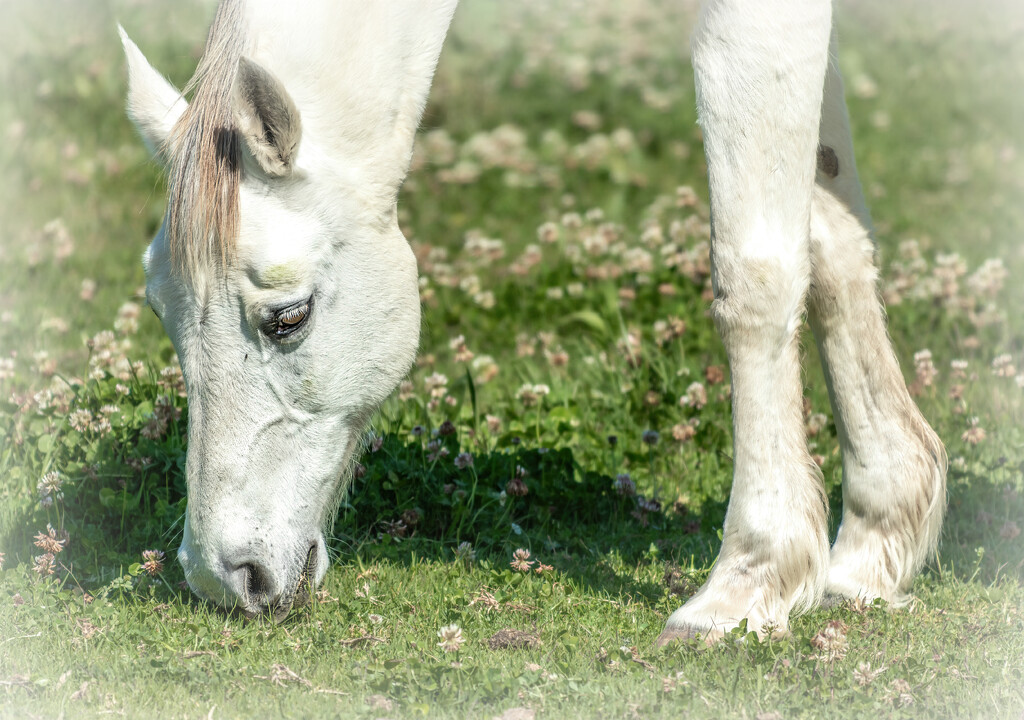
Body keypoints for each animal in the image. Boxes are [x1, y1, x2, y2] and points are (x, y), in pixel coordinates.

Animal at [121, 0, 942, 643]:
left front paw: (746, 586)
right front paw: (872, 545)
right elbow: (830, 241)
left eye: (288, 318)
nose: (223, 575)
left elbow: (756, 272)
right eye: (161, 310)